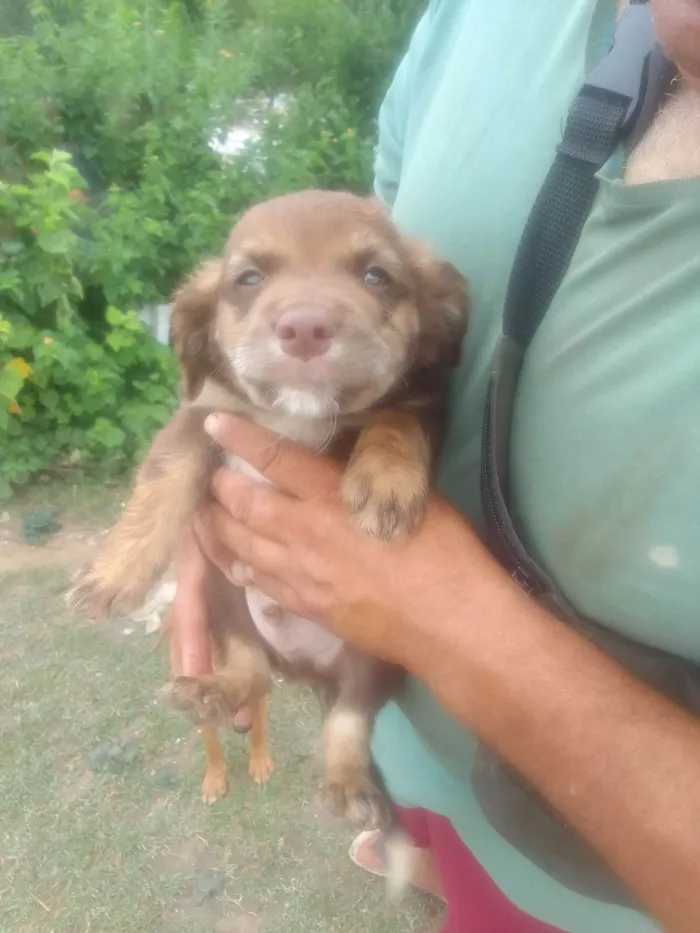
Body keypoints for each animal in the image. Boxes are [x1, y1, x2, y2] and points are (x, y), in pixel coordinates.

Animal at [69, 189, 470, 824]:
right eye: (249, 278)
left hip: (375, 656)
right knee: (252, 674)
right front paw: (114, 575)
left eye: (376, 276)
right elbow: (161, 484)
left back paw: (349, 785)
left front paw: (385, 483)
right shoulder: (203, 416)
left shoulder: (423, 405)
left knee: (349, 717)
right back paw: (213, 691)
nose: (304, 328)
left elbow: (394, 420)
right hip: (222, 598)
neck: (295, 416)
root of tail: (303, 667)